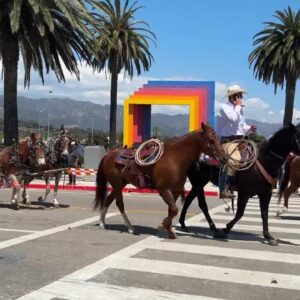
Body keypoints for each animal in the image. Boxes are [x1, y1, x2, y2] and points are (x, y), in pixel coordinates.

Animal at [94, 123, 225, 238]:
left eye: (218, 139)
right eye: (211, 140)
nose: (223, 158)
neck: (174, 158)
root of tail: (109, 153)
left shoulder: (175, 190)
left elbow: (171, 210)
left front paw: (169, 230)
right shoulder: (163, 189)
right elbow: (174, 210)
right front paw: (163, 226)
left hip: (120, 184)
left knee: (108, 199)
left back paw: (103, 223)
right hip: (116, 184)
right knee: (119, 203)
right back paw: (129, 227)